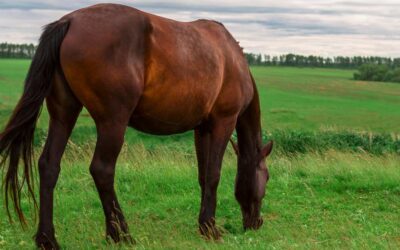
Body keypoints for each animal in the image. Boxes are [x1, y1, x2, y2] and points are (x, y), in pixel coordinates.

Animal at [0, 2, 272, 249]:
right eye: (267, 176)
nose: (256, 223)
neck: (231, 58)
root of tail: (69, 22)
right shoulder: (223, 122)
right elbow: (214, 174)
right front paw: (211, 229)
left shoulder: (202, 128)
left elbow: (203, 176)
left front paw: (204, 225)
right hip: (113, 122)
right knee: (102, 170)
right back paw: (121, 234)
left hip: (64, 114)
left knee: (49, 166)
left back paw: (47, 239)